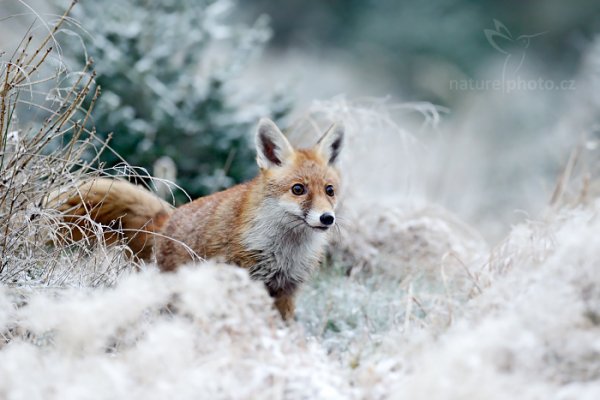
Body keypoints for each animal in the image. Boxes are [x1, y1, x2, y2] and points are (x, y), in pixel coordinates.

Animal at [56, 119, 346, 318]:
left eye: (330, 191)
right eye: (298, 189)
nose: (327, 218)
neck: (284, 251)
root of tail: (169, 216)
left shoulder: (286, 290)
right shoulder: (244, 284)